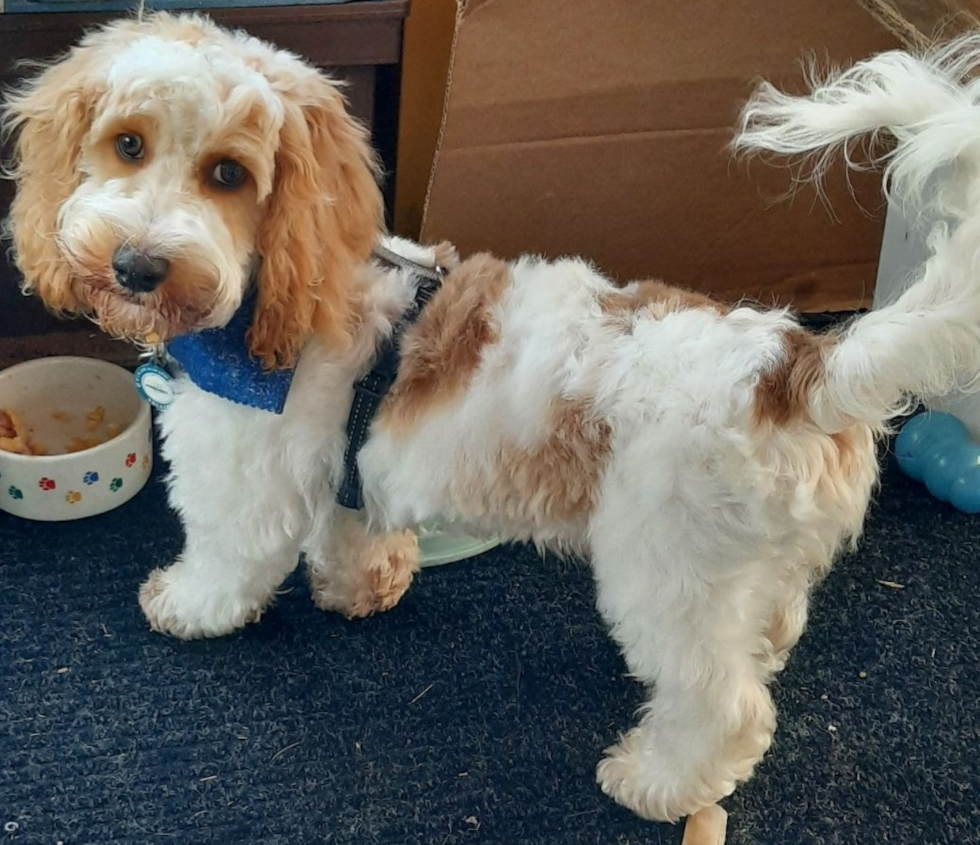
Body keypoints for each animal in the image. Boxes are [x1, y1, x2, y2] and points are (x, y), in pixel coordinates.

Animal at [5, 11, 980, 816]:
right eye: (127, 144)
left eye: (228, 174)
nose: (137, 265)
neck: (273, 297)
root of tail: (802, 366)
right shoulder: (346, 472)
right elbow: (354, 531)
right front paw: (361, 587)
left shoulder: (246, 479)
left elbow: (226, 560)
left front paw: (185, 604)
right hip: (751, 571)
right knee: (772, 632)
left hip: (670, 577)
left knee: (726, 706)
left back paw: (658, 781)